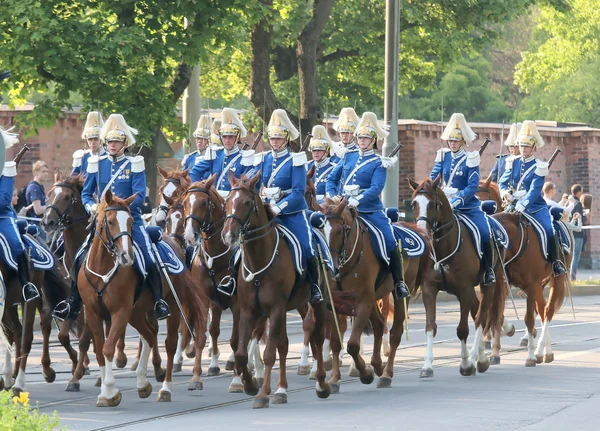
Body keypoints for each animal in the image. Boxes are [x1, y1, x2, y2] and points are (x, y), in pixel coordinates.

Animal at [223, 171, 330, 408]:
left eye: (246, 202)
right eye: (227, 202)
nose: (228, 236)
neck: (259, 260)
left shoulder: (276, 309)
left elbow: (270, 353)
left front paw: (263, 394)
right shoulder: (249, 310)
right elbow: (242, 352)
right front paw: (250, 385)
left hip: (316, 303)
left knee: (317, 338)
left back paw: (321, 384)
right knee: (285, 344)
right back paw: (281, 389)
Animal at [408, 177, 506, 376]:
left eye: (433, 204)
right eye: (413, 203)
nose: (421, 231)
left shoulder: (464, 290)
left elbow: (462, 329)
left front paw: (466, 364)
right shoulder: (429, 289)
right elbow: (430, 326)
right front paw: (427, 365)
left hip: (489, 284)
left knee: (481, 317)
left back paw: (477, 358)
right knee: (477, 313)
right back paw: (482, 358)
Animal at [474, 177, 572, 366]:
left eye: (485, 197)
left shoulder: (531, 284)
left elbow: (528, 318)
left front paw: (530, 356)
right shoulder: (502, 284)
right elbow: (496, 314)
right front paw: (495, 353)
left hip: (556, 279)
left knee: (547, 311)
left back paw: (540, 351)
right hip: (537, 286)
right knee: (542, 309)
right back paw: (544, 351)